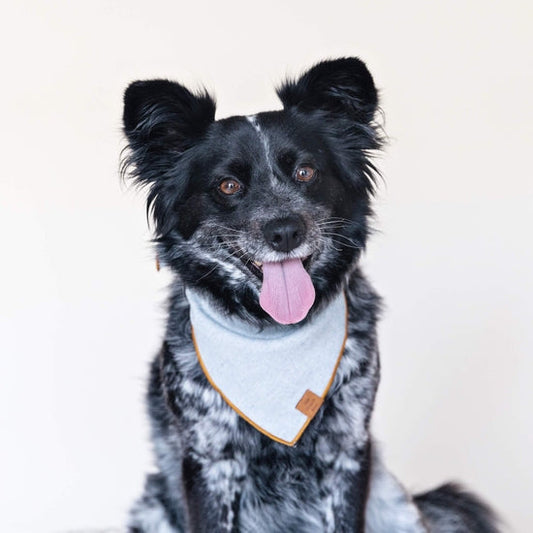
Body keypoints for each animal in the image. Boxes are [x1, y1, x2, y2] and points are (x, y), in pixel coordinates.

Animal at [121, 58, 498, 532]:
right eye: (228, 185)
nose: (284, 231)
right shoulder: (211, 462)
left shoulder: (348, 448)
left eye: (305, 172)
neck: (272, 334)